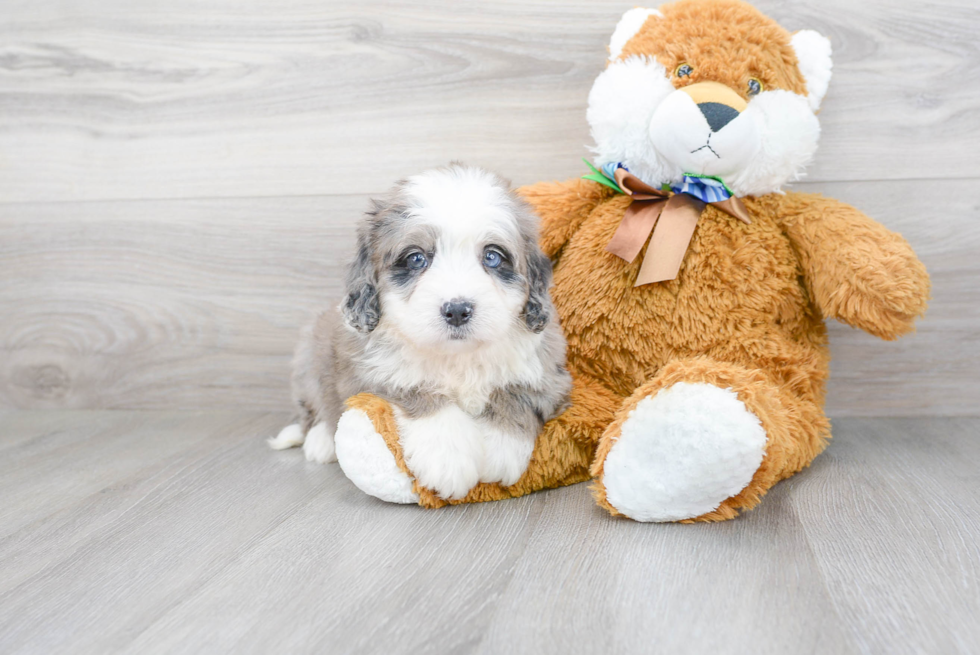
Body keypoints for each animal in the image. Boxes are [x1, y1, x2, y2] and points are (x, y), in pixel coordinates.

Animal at [268, 164, 576, 502]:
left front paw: (500, 450)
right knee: (313, 408)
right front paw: (448, 459)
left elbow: (517, 393)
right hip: (310, 354)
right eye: (416, 258)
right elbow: (415, 388)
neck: (457, 356)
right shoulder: (368, 372)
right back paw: (320, 441)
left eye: (493, 256)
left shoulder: (549, 372)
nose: (457, 310)